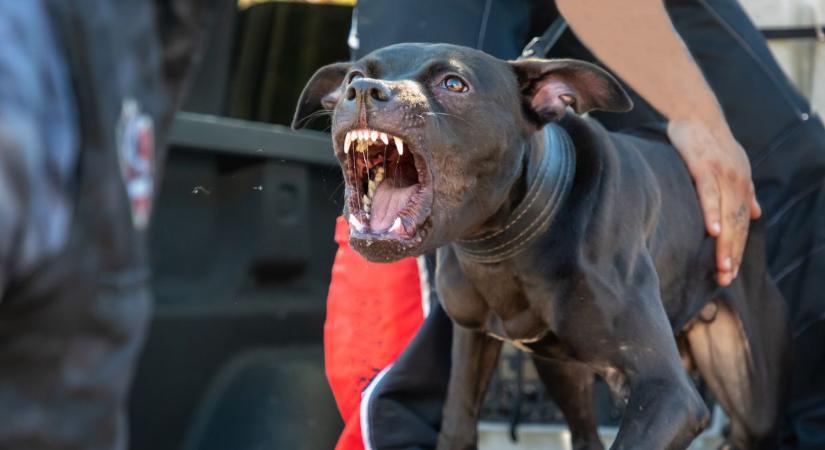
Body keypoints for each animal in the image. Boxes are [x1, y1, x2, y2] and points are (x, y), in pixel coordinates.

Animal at [292, 44, 788, 450]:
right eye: (355, 74)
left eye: (454, 83)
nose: (362, 91)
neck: (502, 243)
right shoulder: (472, 338)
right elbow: (456, 425)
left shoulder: (668, 393)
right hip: (563, 372)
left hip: (750, 391)